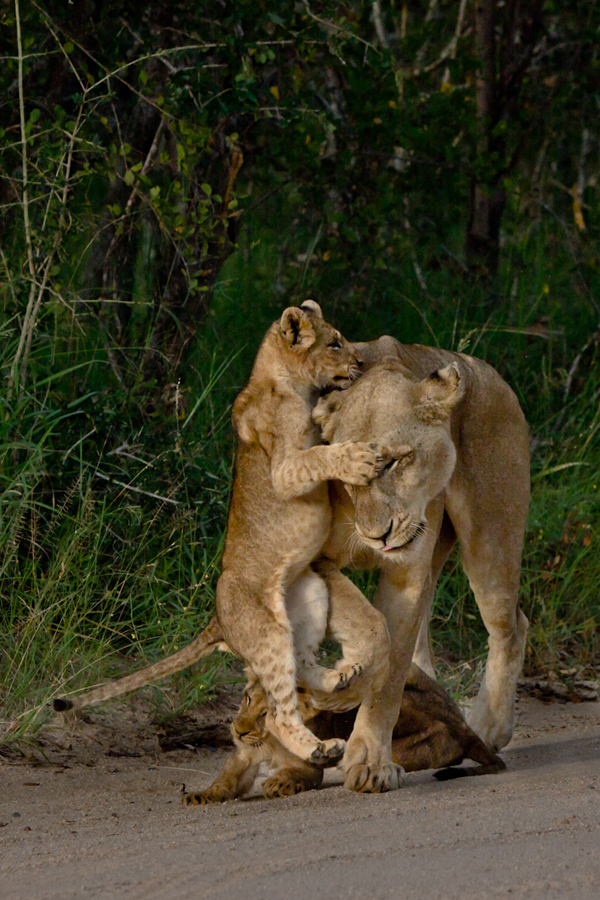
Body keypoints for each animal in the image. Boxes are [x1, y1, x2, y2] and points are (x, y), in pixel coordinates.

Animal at [182, 663, 505, 804]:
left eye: (267, 715)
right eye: (247, 699)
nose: (238, 729)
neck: (269, 742)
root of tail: (464, 726)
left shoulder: (308, 764)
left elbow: (294, 773)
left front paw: (278, 783)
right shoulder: (243, 754)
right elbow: (226, 777)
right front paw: (202, 795)